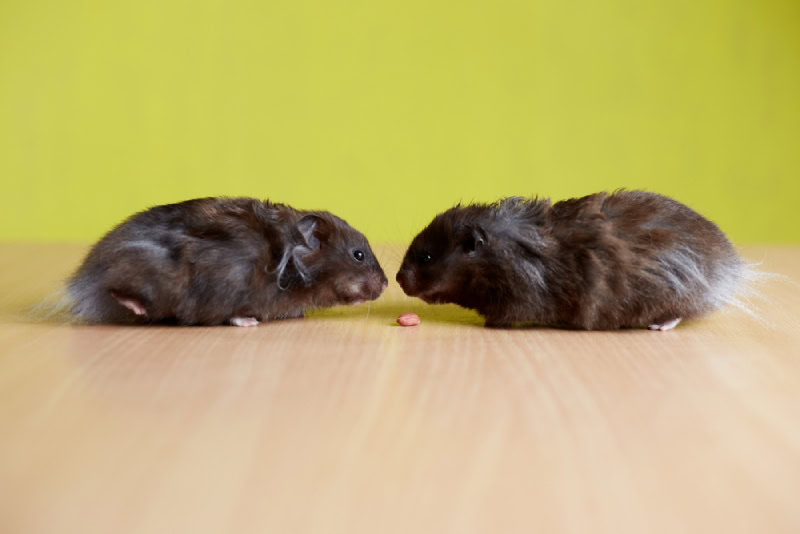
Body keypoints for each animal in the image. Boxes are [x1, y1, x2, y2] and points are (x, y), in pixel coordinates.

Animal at [396, 190, 749, 330]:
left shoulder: (516, 298)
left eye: (426, 257)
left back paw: (657, 326)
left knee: (678, 313)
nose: (398, 279)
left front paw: (486, 324)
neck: (493, 257)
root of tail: (731, 268)